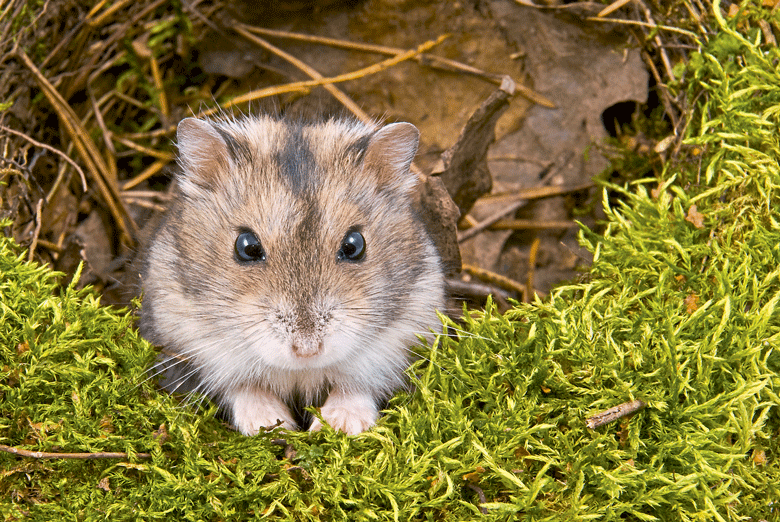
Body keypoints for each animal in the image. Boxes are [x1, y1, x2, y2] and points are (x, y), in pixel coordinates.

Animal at [139, 115, 444, 434]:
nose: (307, 350)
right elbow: (243, 388)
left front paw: (339, 425)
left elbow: (356, 387)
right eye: (246, 246)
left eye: (354, 245)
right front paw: (273, 425)